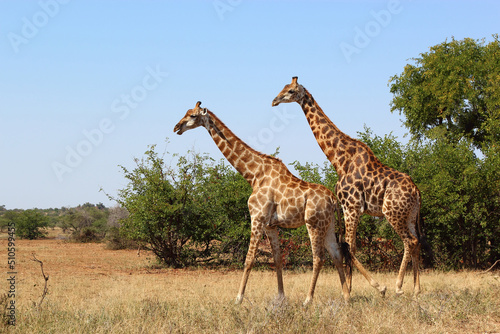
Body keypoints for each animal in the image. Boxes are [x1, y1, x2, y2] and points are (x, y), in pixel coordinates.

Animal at [174, 100, 350, 304]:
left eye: (193, 116)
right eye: (185, 112)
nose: (176, 127)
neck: (254, 175)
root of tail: (333, 199)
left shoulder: (257, 218)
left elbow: (249, 259)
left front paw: (238, 298)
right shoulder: (270, 225)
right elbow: (278, 260)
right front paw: (281, 297)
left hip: (313, 223)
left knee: (319, 257)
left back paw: (308, 300)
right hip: (328, 224)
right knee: (336, 254)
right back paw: (346, 297)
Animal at [274, 76, 422, 298]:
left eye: (291, 91)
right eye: (282, 88)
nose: (274, 101)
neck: (339, 159)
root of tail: (416, 191)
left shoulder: (351, 207)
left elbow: (349, 247)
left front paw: (369, 288)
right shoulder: (348, 208)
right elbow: (348, 247)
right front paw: (350, 288)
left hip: (392, 212)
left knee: (409, 242)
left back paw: (398, 286)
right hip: (410, 215)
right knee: (417, 242)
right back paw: (417, 289)